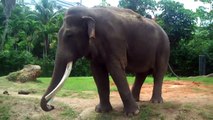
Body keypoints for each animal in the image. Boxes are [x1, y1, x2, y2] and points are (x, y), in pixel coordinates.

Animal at [40, 6, 170, 116]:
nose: (51, 106)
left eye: (69, 35)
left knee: (159, 72)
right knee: (142, 73)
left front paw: (133, 113)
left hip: (163, 48)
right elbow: (98, 73)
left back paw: (156, 102)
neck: (89, 11)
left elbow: (115, 69)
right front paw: (101, 111)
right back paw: (136, 100)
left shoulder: (114, 41)